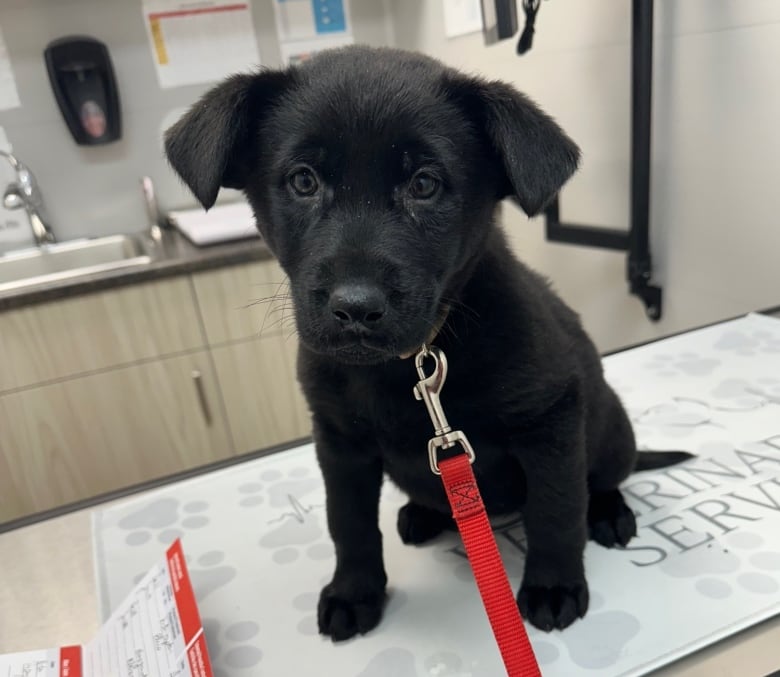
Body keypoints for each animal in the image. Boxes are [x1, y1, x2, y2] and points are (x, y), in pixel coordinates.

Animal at [166, 47, 688, 640]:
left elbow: (555, 511)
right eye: (303, 180)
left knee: (600, 479)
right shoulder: (337, 441)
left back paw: (608, 512)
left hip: (610, 429)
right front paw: (355, 591)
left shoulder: (550, 421)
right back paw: (422, 513)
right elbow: (348, 523)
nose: (356, 308)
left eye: (423, 184)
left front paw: (554, 586)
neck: (406, 365)